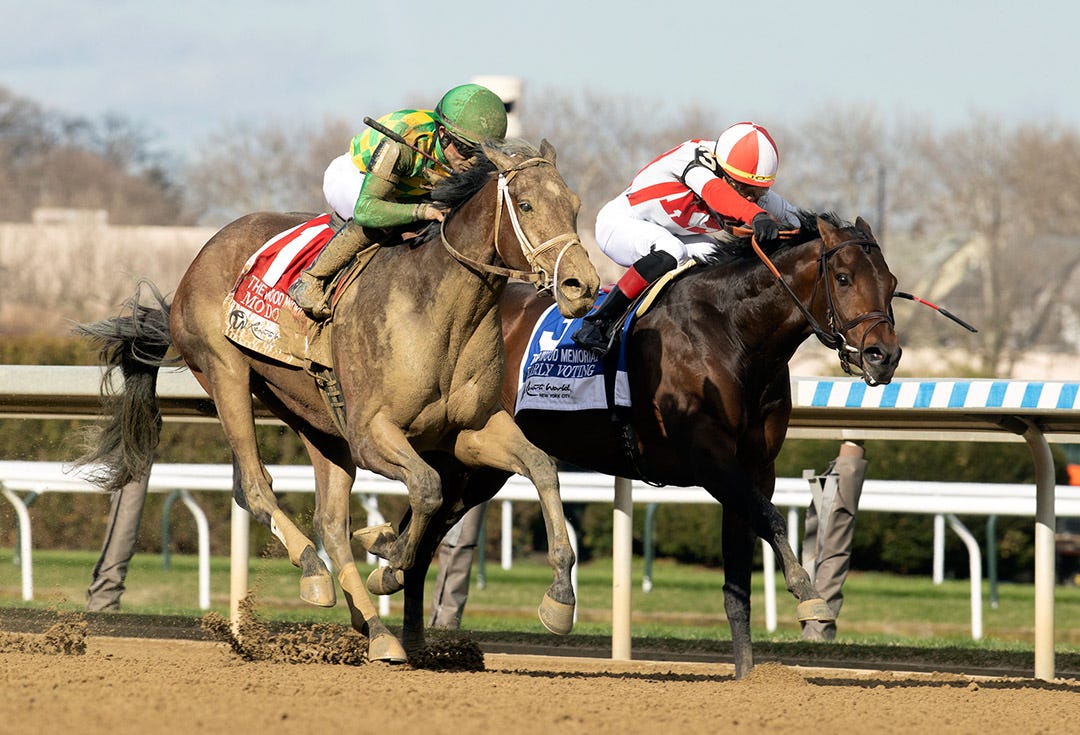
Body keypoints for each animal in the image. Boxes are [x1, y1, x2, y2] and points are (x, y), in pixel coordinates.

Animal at [76, 139, 600, 662]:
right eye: (526, 205)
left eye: (575, 206)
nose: (582, 286)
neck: (441, 308)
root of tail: (200, 257)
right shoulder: (371, 434)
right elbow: (426, 488)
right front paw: (388, 556)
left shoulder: (469, 432)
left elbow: (541, 468)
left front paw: (560, 598)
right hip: (227, 373)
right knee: (256, 486)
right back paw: (316, 573)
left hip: (314, 417)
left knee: (328, 520)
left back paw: (374, 628)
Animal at [397, 211, 902, 677]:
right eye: (843, 277)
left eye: (891, 282)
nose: (885, 356)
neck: (732, 332)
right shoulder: (711, 461)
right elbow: (773, 521)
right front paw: (809, 595)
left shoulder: (756, 469)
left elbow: (738, 580)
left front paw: (747, 675)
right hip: (461, 459)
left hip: (478, 470)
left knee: (420, 544)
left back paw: (410, 642)